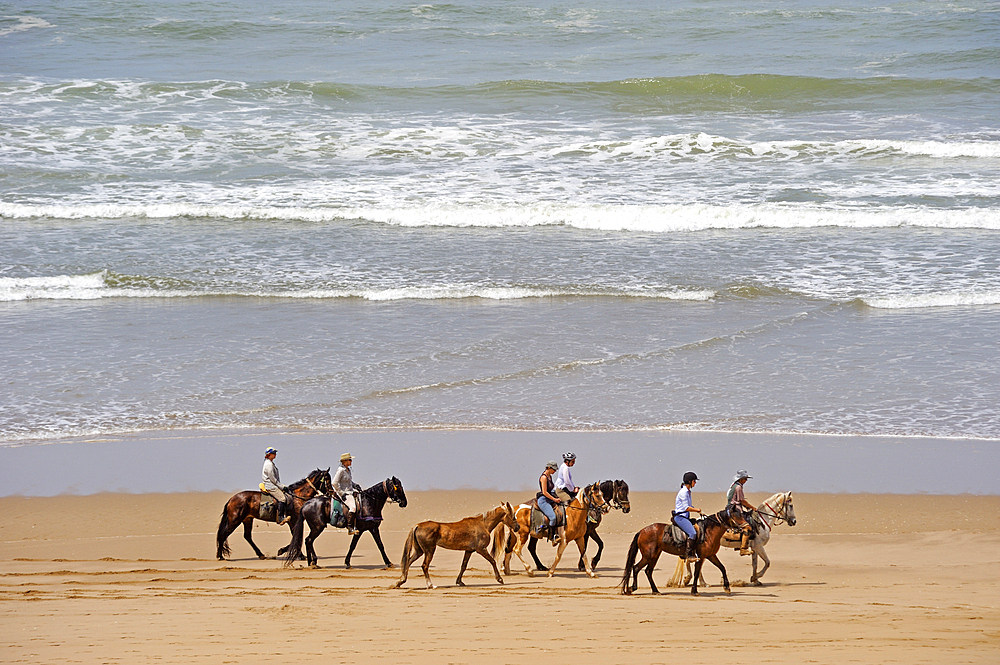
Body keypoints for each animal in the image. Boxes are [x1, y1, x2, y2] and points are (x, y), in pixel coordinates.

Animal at [392, 500, 520, 588]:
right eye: (513, 516)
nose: (518, 527)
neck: (482, 524)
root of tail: (417, 526)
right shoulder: (481, 549)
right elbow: (492, 561)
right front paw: (499, 579)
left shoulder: (469, 550)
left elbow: (463, 566)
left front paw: (459, 581)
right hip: (429, 550)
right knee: (424, 566)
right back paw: (430, 585)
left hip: (419, 551)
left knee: (408, 562)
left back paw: (400, 582)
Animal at [616, 506, 752, 592]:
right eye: (737, 517)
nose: (749, 529)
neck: (708, 531)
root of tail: (641, 531)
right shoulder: (701, 557)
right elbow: (697, 573)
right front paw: (694, 590)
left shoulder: (711, 555)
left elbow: (722, 568)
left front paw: (727, 587)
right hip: (648, 555)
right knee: (636, 568)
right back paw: (632, 588)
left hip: (655, 555)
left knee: (648, 571)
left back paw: (655, 590)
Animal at [668, 488, 800, 588]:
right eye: (791, 505)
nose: (794, 521)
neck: (762, 520)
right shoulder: (759, 546)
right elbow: (767, 562)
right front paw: (756, 577)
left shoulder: (754, 548)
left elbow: (755, 564)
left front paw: (755, 579)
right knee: (692, 561)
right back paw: (700, 582)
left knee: (690, 560)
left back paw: (694, 581)